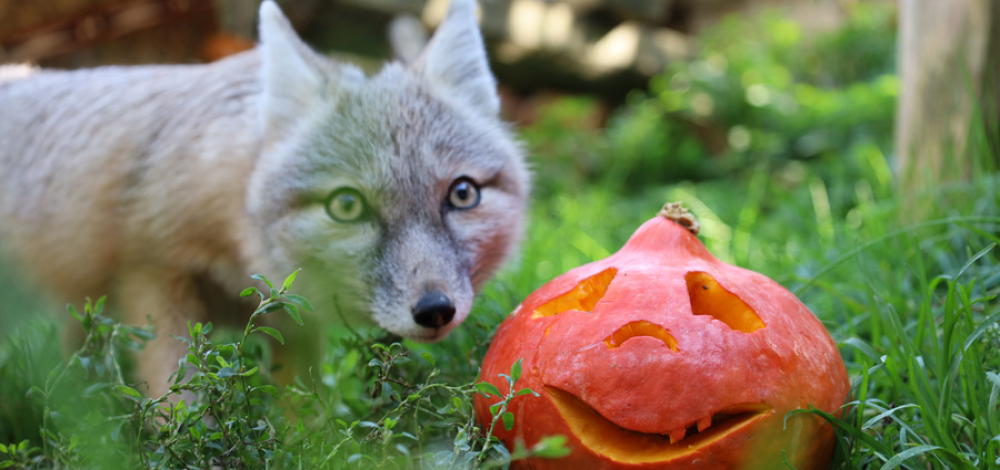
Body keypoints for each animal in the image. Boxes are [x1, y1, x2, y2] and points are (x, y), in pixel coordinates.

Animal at [0, 0, 532, 396]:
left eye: (462, 194)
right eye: (347, 205)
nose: (436, 310)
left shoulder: (293, 326)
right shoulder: (152, 280)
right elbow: (179, 406)